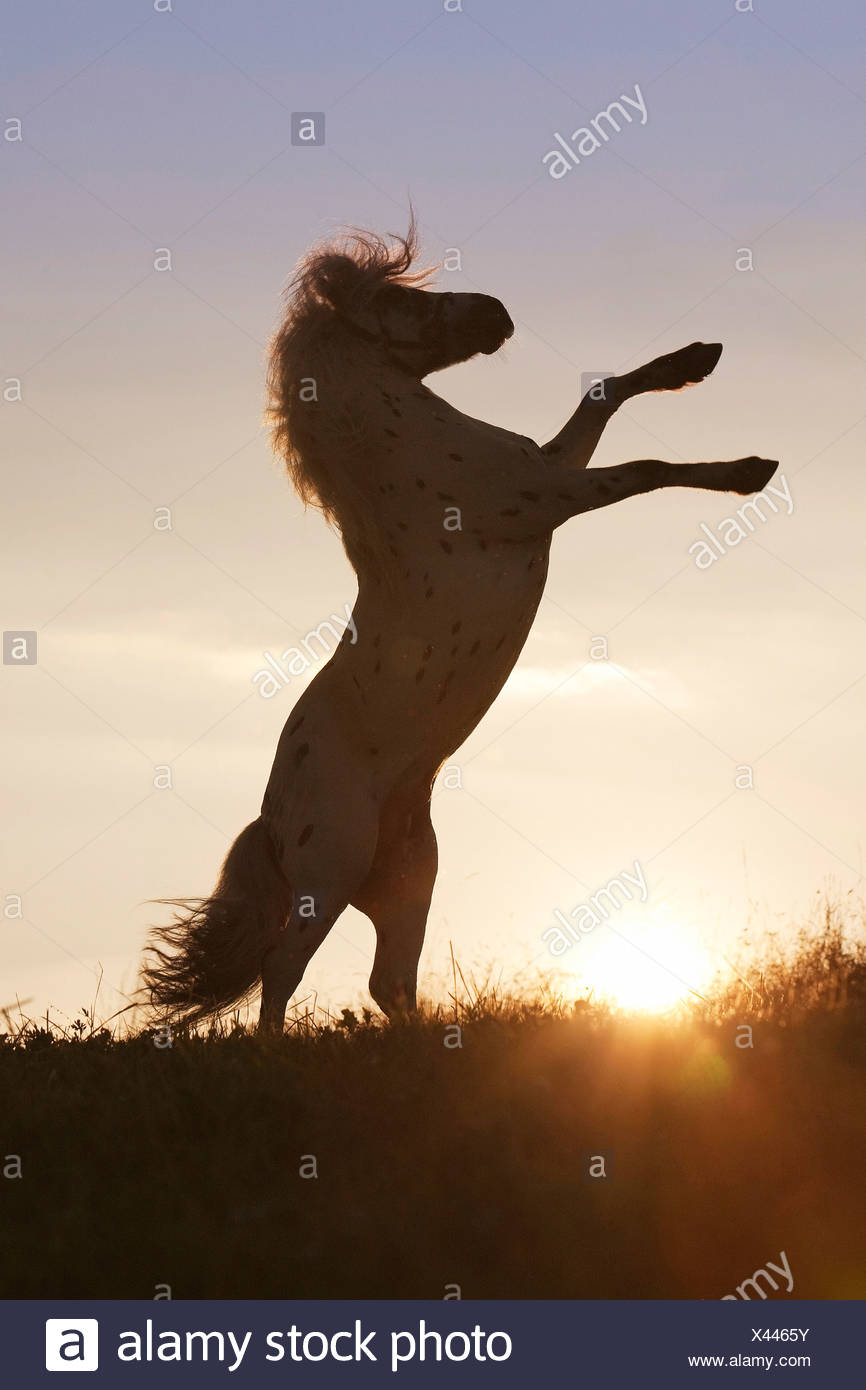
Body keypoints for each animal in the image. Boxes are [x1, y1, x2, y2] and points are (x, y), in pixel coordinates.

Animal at [142, 218, 778, 1031]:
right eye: (399, 302)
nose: (498, 311)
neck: (411, 457)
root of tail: (272, 822)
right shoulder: (551, 496)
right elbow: (646, 468)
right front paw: (749, 472)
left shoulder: (550, 469)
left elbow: (602, 395)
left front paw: (695, 360)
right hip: (332, 875)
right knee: (282, 967)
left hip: (409, 881)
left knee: (390, 983)